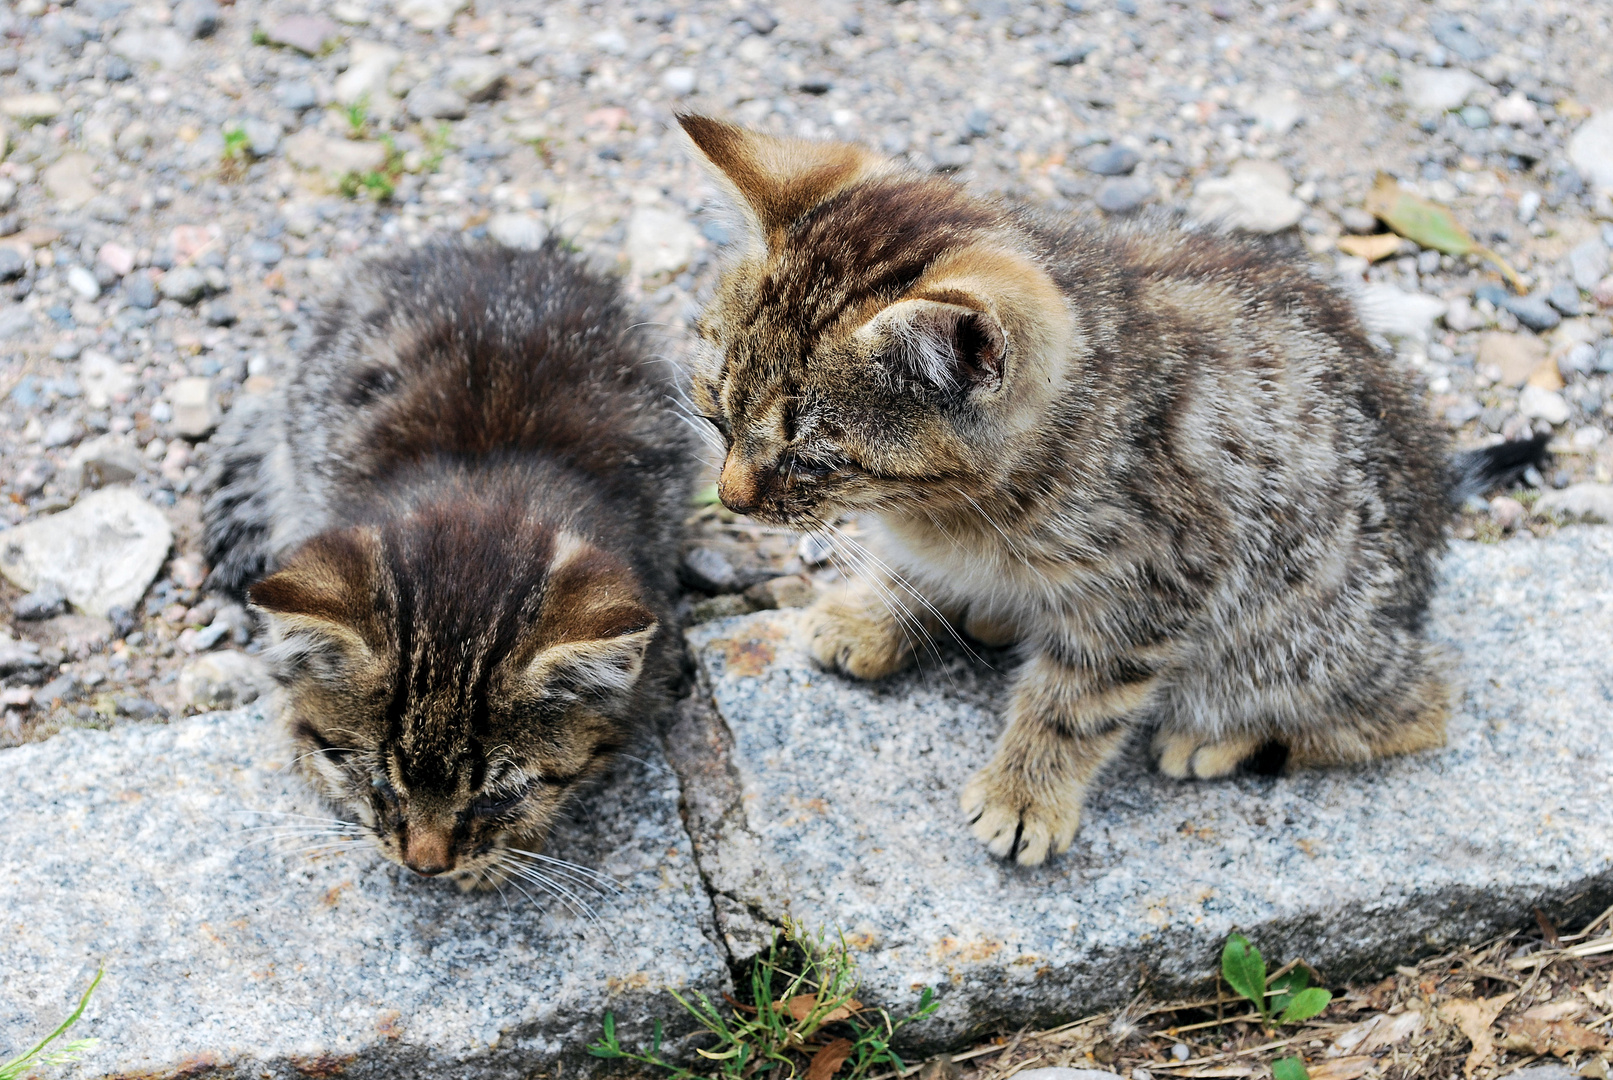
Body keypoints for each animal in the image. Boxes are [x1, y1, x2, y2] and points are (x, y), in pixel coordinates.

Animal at [200, 241, 693, 889]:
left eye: (498, 796)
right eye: (379, 782)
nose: (426, 865)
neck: (480, 483)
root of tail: (497, 252)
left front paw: (504, 853)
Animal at [674, 112, 1542, 870]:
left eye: (812, 461)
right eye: (716, 413)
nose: (731, 499)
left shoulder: (1154, 580)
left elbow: (1075, 702)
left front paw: (1027, 793)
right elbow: (915, 569)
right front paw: (872, 611)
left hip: (1299, 637)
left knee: (1421, 703)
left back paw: (1227, 735)